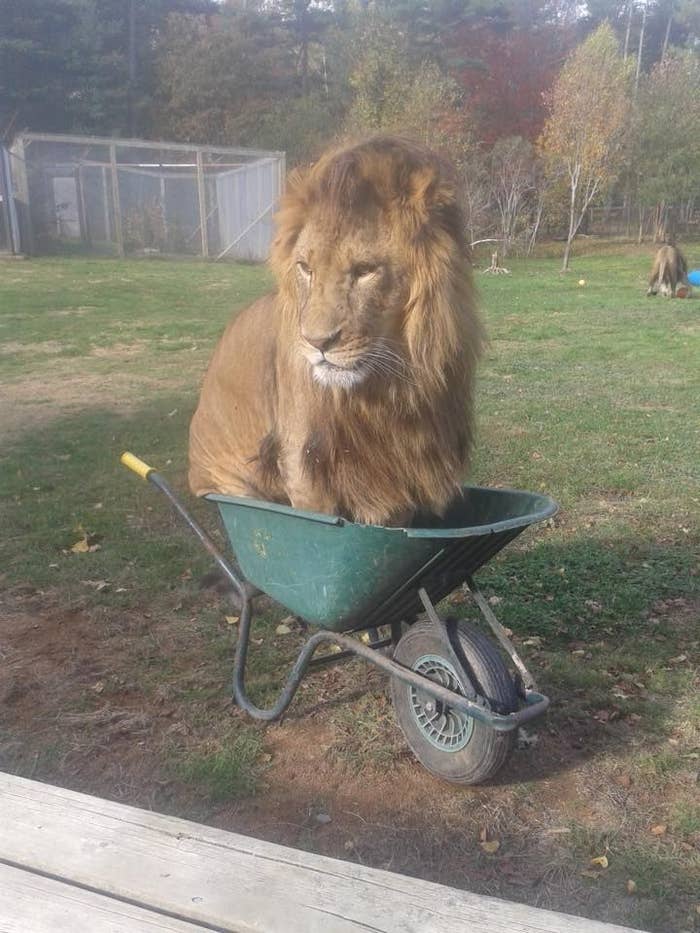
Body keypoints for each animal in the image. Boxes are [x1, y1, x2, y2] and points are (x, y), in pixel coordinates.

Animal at [188, 136, 483, 527]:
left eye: (365, 270)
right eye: (305, 268)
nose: (317, 342)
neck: (385, 391)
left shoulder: (398, 476)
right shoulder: (304, 465)